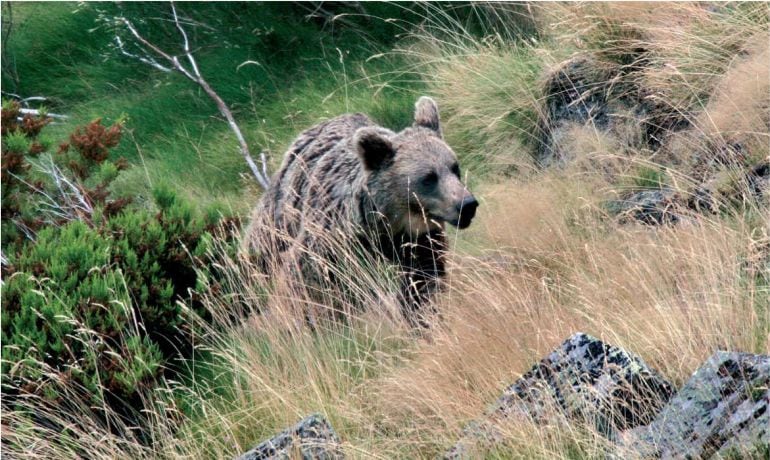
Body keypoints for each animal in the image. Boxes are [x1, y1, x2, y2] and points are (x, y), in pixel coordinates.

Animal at [243, 97, 476, 324]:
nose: (467, 205)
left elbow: (422, 282)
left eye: (454, 167)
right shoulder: (330, 244)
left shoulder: (419, 243)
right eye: (428, 178)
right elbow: (308, 283)